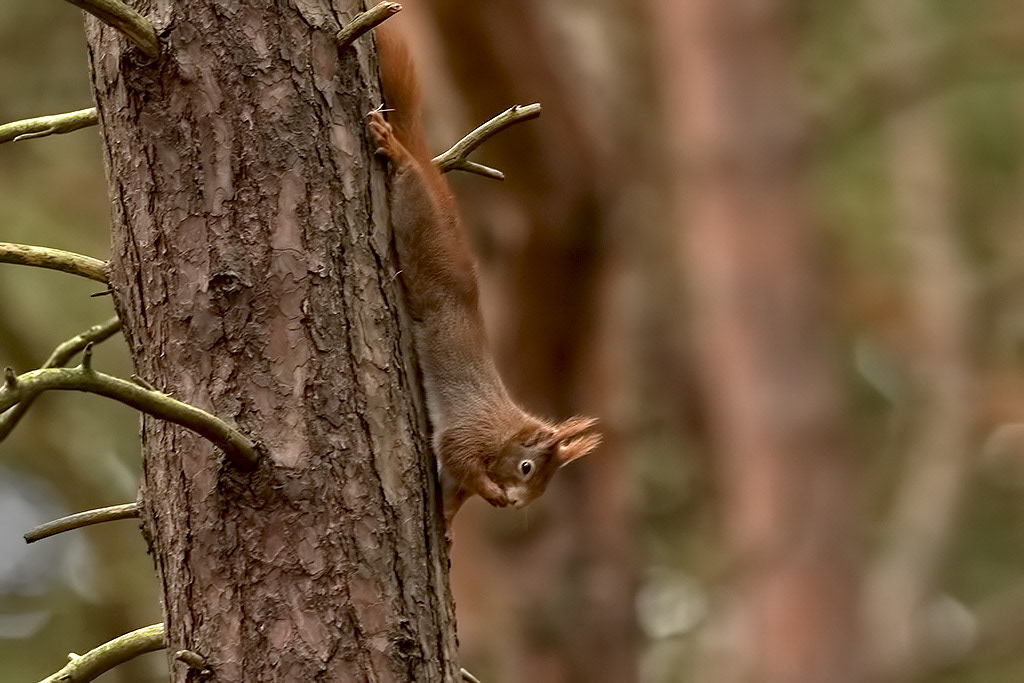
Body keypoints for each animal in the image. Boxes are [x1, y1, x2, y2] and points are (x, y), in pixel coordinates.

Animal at [368, 24, 601, 533]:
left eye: (541, 486)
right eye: (528, 467)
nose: (514, 502)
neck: (504, 429)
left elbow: (455, 491)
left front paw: (450, 522)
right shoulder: (467, 431)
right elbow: (459, 458)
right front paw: (488, 490)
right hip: (420, 225)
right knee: (409, 183)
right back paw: (398, 153)